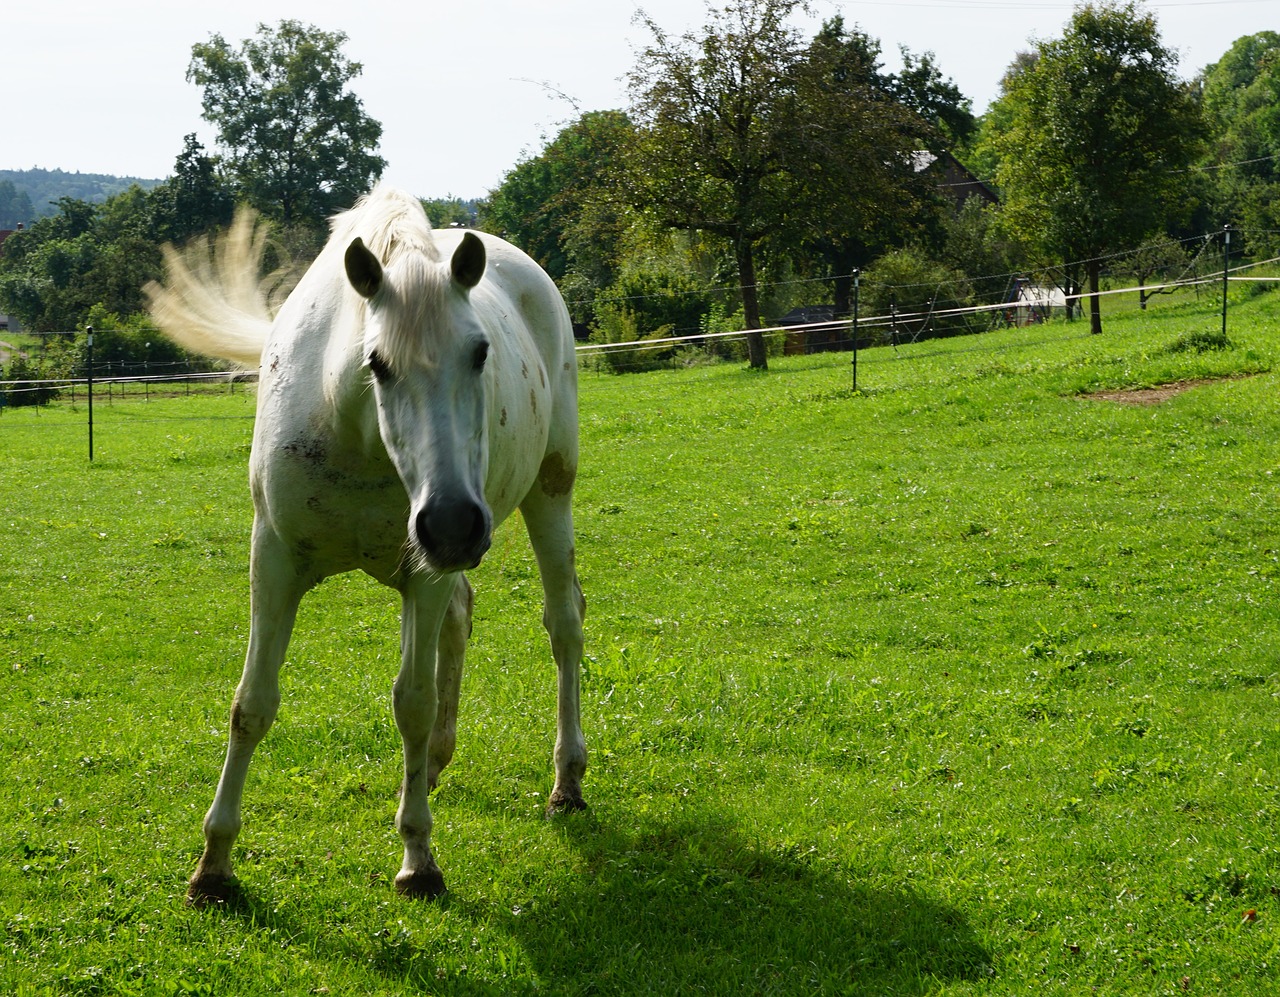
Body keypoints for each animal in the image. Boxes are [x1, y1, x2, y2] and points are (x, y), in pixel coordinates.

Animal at [147, 186, 586, 906]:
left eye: (480, 352)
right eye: (376, 362)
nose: (454, 522)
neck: (351, 429)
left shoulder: (423, 575)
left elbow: (412, 701)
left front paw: (418, 858)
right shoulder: (274, 559)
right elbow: (251, 704)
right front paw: (214, 864)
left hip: (550, 492)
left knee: (564, 625)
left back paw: (567, 782)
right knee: (463, 617)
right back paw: (434, 765)